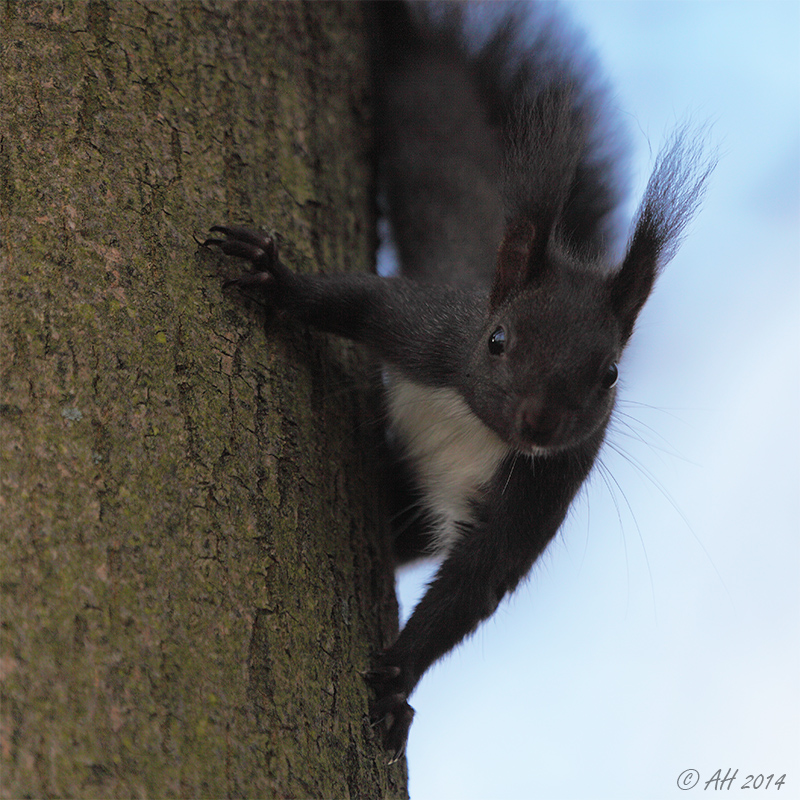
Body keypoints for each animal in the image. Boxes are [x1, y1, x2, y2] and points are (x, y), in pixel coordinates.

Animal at [203, 0, 716, 764]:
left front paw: (397, 679)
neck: (477, 420)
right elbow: (358, 302)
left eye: (610, 375)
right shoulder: (431, 331)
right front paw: (278, 279)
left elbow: (477, 581)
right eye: (497, 341)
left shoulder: (549, 477)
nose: (537, 422)